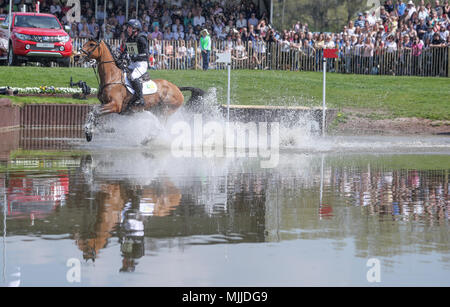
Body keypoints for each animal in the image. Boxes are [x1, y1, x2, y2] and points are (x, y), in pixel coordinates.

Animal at [76, 38, 206, 143]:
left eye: (92, 44)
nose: (77, 56)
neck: (113, 77)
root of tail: (177, 88)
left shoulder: (115, 105)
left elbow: (94, 112)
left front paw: (88, 131)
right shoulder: (105, 103)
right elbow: (94, 112)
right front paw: (91, 132)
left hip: (165, 110)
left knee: (161, 127)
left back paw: (148, 139)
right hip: (156, 110)